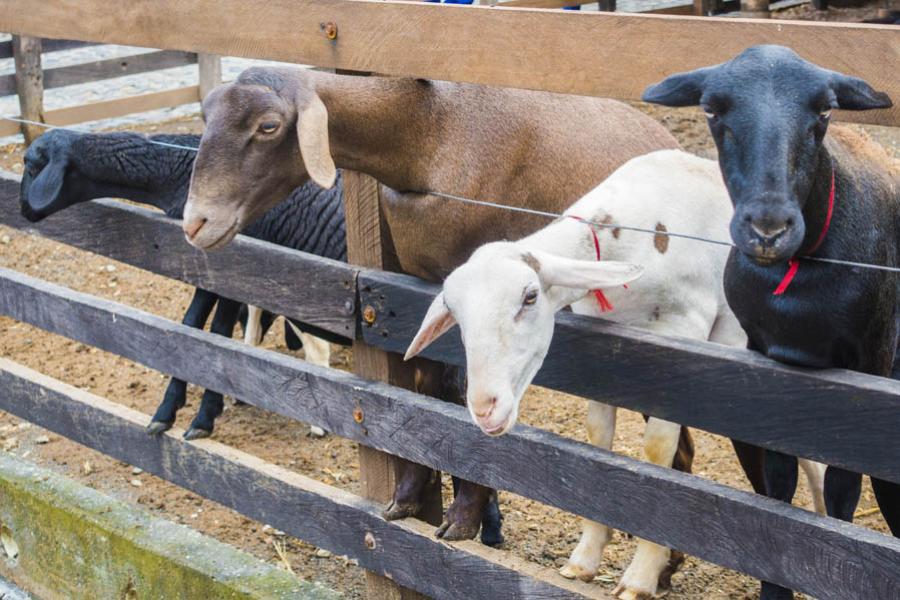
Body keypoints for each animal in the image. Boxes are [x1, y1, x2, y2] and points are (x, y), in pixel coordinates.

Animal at [176, 65, 688, 552]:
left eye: (268, 125)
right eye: (207, 115)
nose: (196, 222)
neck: (428, 133)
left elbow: (459, 393)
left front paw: (464, 517)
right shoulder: (420, 291)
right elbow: (426, 391)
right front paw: (411, 497)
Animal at [404, 150, 828, 600]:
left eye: (530, 296)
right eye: (455, 313)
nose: (485, 409)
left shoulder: (681, 335)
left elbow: (659, 452)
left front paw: (640, 576)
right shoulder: (606, 347)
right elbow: (598, 437)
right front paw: (584, 559)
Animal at [644, 45, 896, 600]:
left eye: (825, 111)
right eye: (712, 109)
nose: (768, 228)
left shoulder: (864, 378)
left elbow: (841, 496)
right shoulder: (765, 366)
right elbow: (777, 489)